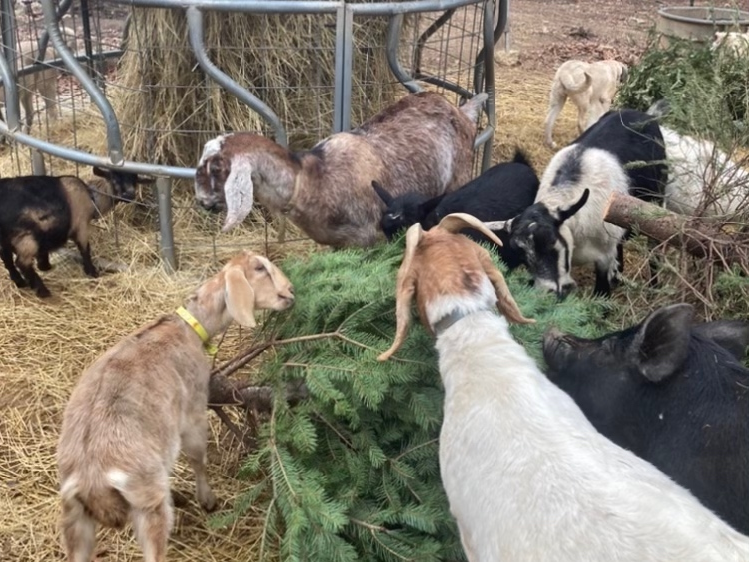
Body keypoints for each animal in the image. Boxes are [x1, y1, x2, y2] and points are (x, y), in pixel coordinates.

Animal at [0, 167, 153, 298]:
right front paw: (92, 272)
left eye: (135, 181)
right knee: (22, 263)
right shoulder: (81, 227)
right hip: (26, 239)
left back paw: (20, 282)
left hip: (8, 241)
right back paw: (42, 291)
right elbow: (85, 250)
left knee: (7, 259)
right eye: (114, 179)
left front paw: (45, 266)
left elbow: (43, 252)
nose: (129, 195)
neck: (92, 197)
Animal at [57, 250, 295, 562]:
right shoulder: (193, 410)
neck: (188, 328)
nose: (291, 291)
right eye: (259, 268)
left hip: (75, 518)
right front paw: (207, 500)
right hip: (147, 502)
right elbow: (197, 457)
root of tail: (92, 477)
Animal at [193, 91, 488, 248]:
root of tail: (462, 109)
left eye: (216, 168)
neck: (312, 178)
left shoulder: (369, 239)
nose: (202, 202)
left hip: (459, 176)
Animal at [491, 109, 667, 297]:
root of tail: (641, 114)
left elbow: (601, 293)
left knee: (654, 245)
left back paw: (654, 288)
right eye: (522, 256)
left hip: (656, 201)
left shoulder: (604, 256)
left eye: (551, 243)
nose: (550, 291)